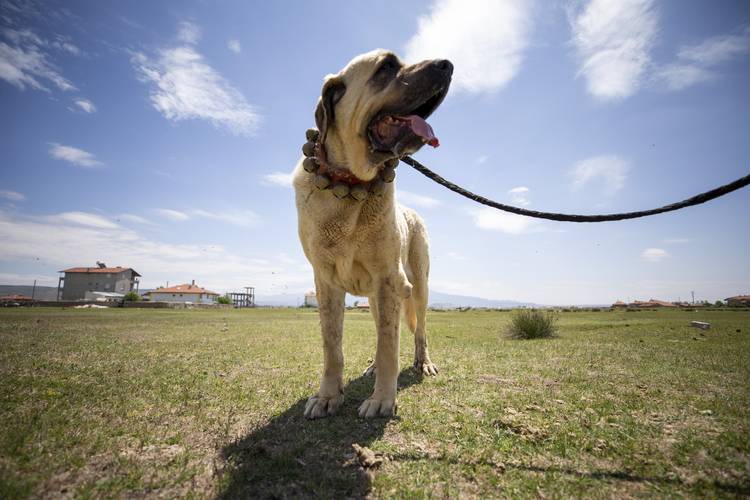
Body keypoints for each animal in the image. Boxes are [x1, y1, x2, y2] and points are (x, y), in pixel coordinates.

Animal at [296, 49, 456, 418]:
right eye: (387, 67)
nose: (447, 64)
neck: (349, 185)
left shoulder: (389, 280)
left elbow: (389, 346)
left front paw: (382, 399)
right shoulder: (326, 283)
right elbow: (332, 346)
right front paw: (327, 396)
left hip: (419, 285)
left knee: (419, 330)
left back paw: (423, 363)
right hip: (372, 299)